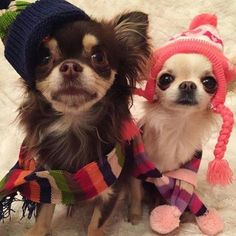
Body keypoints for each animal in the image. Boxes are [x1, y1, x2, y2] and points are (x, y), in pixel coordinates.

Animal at [17, 11, 151, 236]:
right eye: (45, 59)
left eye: (99, 57)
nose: (70, 66)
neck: (74, 124)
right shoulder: (49, 178)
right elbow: (43, 216)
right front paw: (35, 232)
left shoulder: (112, 189)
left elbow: (96, 224)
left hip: (134, 165)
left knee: (136, 192)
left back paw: (134, 217)